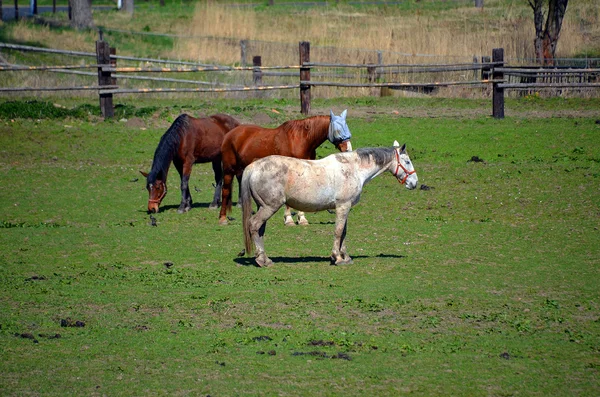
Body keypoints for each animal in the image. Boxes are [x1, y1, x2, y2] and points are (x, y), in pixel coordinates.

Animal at [219, 110, 352, 224]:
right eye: (338, 129)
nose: (348, 149)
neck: (301, 139)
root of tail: (230, 134)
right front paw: (289, 219)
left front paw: (302, 218)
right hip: (228, 170)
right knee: (225, 191)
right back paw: (222, 218)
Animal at [239, 141, 418, 268]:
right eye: (407, 161)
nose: (414, 183)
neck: (354, 169)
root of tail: (253, 167)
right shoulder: (343, 206)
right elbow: (338, 232)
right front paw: (337, 257)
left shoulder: (345, 208)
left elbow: (344, 232)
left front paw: (346, 257)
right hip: (269, 207)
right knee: (254, 225)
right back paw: (262, 260)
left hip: (263, 207)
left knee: (260, 230)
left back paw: (264, 259)